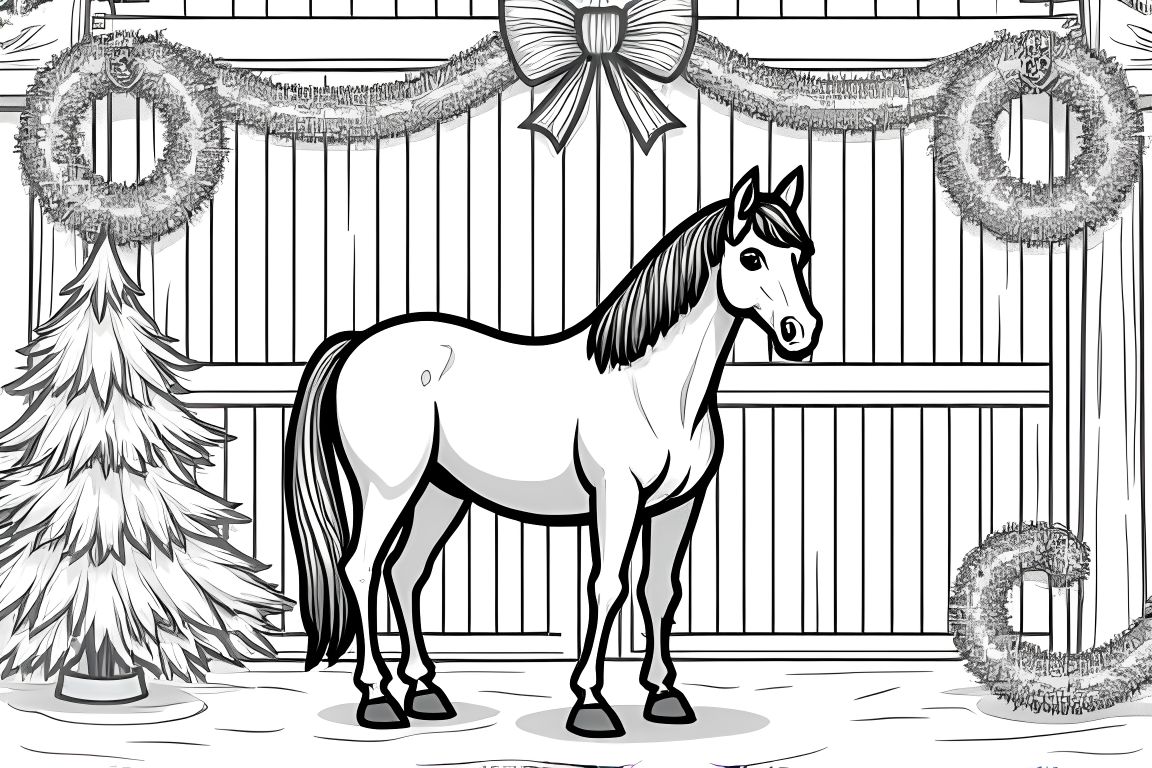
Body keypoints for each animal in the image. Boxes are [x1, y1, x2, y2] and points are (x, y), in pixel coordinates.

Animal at [284, 164, 820, 738]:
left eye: (802, 253)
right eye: (752, 257)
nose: (802, 333)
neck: (650, 386)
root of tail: (359, 341)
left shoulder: (680, 504)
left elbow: (660, 589)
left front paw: (665, 694)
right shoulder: (617, 496)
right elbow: (608, 586)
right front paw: (591, 703)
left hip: (440, 492)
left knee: (404, 573)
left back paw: (426, 690)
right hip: (388, 488)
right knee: (361, 568)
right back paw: (377, 697)